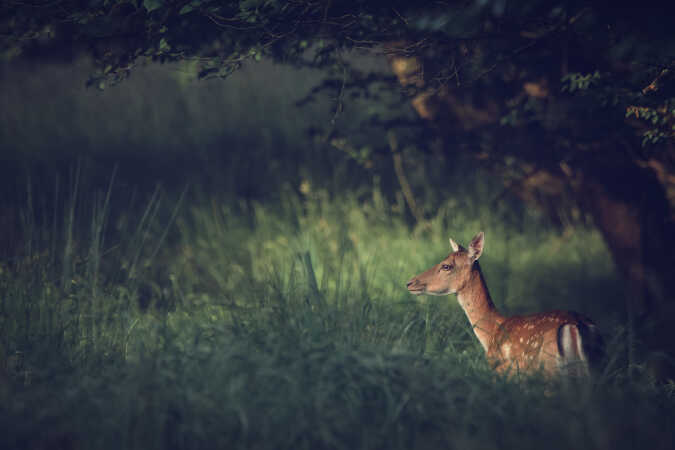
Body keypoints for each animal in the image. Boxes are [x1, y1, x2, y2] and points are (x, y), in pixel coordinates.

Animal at [404, 232, 604, 376]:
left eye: (446, 266)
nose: (410, 283)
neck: (491, 334)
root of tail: (577, 326)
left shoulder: (502, 370)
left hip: (550, 370)